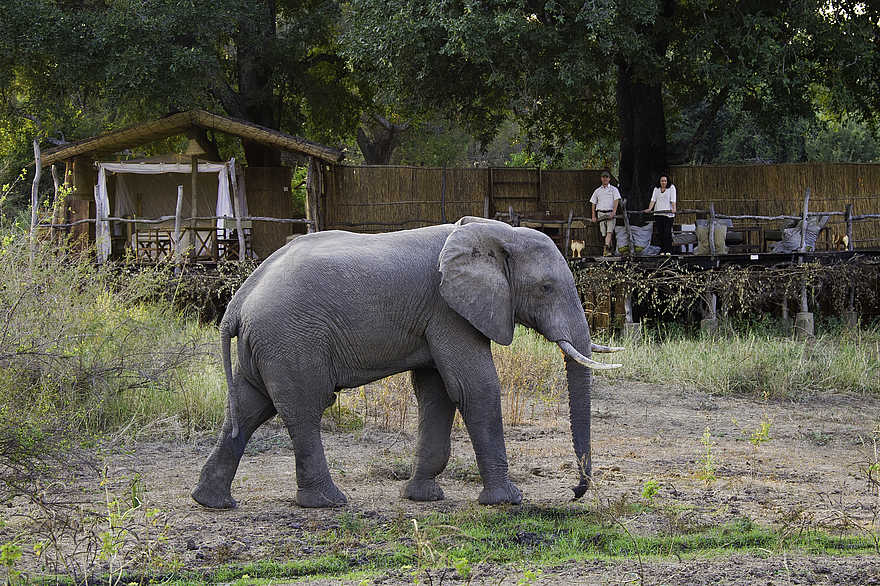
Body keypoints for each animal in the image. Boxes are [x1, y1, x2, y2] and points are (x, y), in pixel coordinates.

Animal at [192, 216, 621, 509]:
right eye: (546, 288)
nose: (575, 492)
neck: (495, 233)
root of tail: (237, 302)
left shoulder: (438, 316)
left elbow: (437, 393)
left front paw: (422, 498)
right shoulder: (447, 309)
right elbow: (475, 387)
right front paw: (506, 501)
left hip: (269, 345)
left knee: (248, 409)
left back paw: (211, 502)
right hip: (291, 340)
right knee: (304, 409)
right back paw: (329, 502)